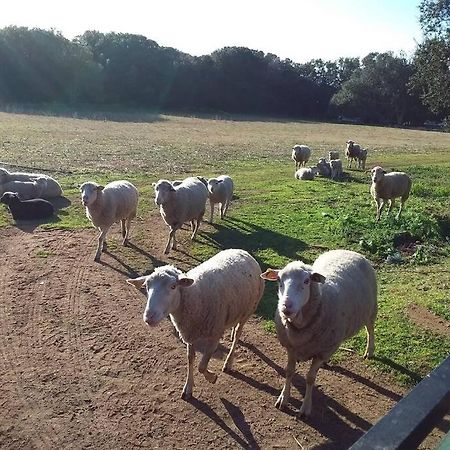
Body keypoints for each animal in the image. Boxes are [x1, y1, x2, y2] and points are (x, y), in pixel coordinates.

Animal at [126, 248, 266, 400]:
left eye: (173, 286)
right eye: (146, 286)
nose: (149, 317)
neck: (195, 296)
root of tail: (242, 251)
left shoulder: (214, 336)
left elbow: (202, 366)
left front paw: (212, 378)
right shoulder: (189, 334)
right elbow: (190, 360)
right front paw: (188, 387)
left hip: (249, 310)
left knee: (237, 336)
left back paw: (229, 361)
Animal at [260, 248, 376, 416]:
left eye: (306, 281)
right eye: (279, 280)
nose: (286, 307)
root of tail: (347, 250)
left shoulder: (321, 352)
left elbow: (310, 378)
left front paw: (306, 408)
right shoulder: (291, 348)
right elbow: (289, 372)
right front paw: (283, 399)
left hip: (371, 309)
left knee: (370, 329)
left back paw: (370, 350)